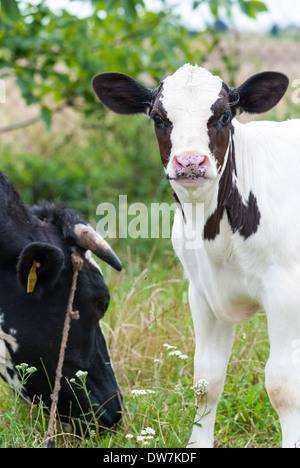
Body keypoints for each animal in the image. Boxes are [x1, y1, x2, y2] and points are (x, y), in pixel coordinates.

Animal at [91, 64, 300, 448]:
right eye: (158, 117)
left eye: (224, 116)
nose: (190, 161)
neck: (214, 233)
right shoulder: (202, 292)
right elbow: (207, 380)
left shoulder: (285, 291)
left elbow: (282, 385)